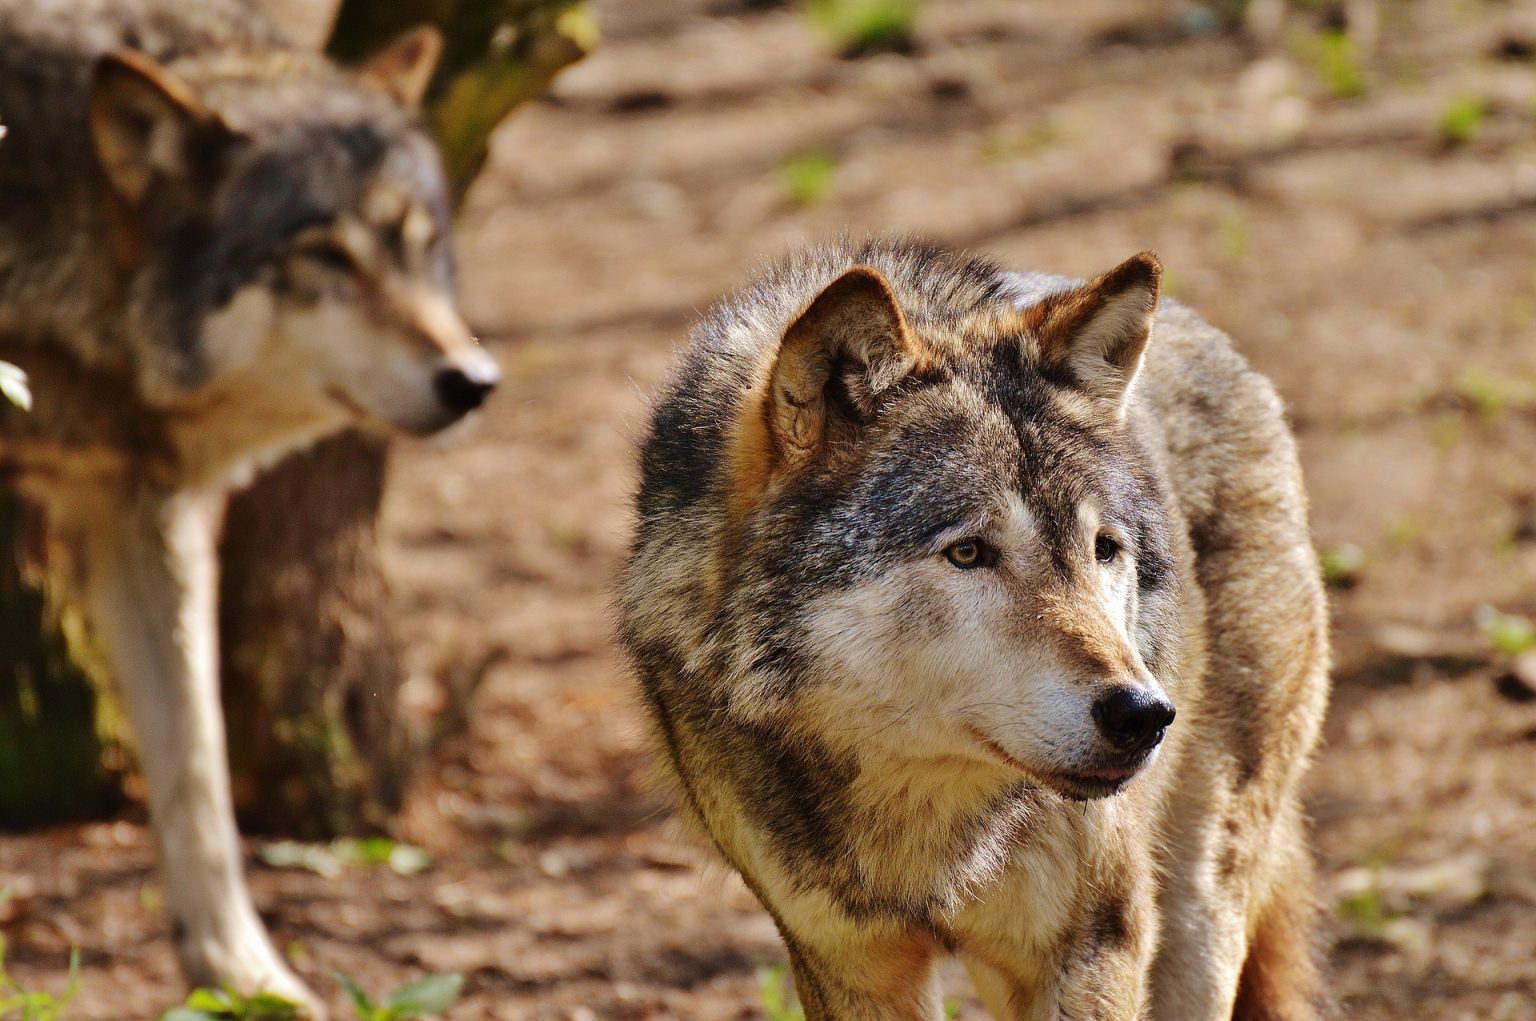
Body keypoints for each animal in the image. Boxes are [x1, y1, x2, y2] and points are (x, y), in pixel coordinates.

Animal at [0, 0, 497, 1013]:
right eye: (324, 255)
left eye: (422, 244)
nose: (472, 380)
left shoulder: (144, 512)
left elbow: (196, 766)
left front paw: (241, 973)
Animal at [620, 241, 1333, 1019]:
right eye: (967, 552)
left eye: (1103, 549)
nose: (1143, 715)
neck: (924, 817)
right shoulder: (845, 964)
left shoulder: (1093, 949)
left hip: (1198, 909)